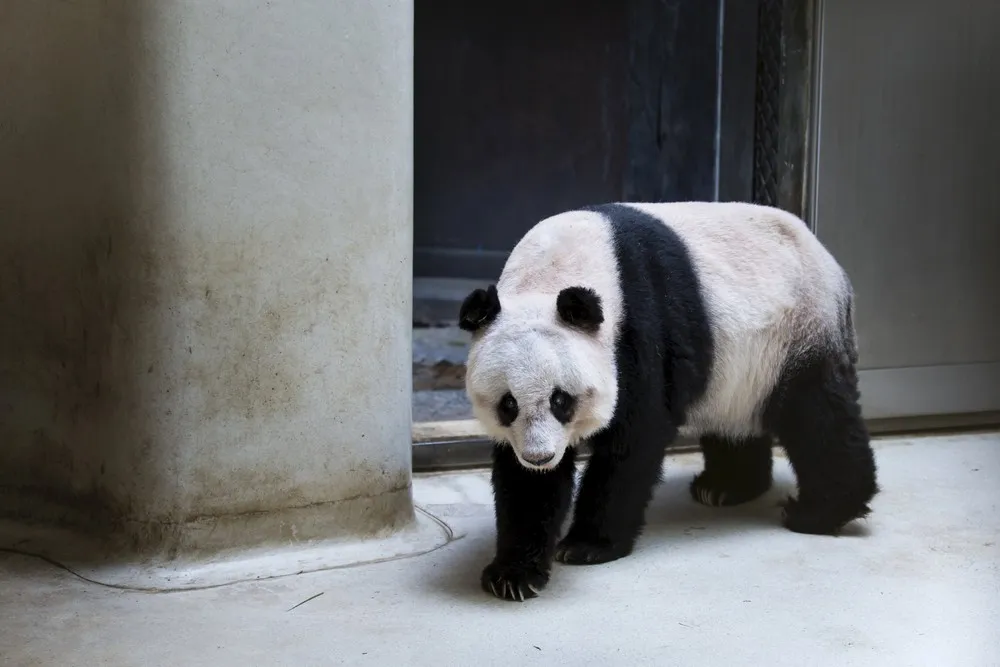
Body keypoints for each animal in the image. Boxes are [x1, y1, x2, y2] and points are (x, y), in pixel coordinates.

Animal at [458, 201, 879, 602]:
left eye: (561, 400)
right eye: (508, 404)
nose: (540, 457)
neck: (552, 272)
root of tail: (830, 262)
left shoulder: (639, 330)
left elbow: (634, 440)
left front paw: (588, 545)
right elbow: (525, 485)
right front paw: (513, 574)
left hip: (798, 329)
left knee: (817, 415)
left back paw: (818, 512)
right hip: (740, 368)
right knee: (737, 420)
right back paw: (726, 487)